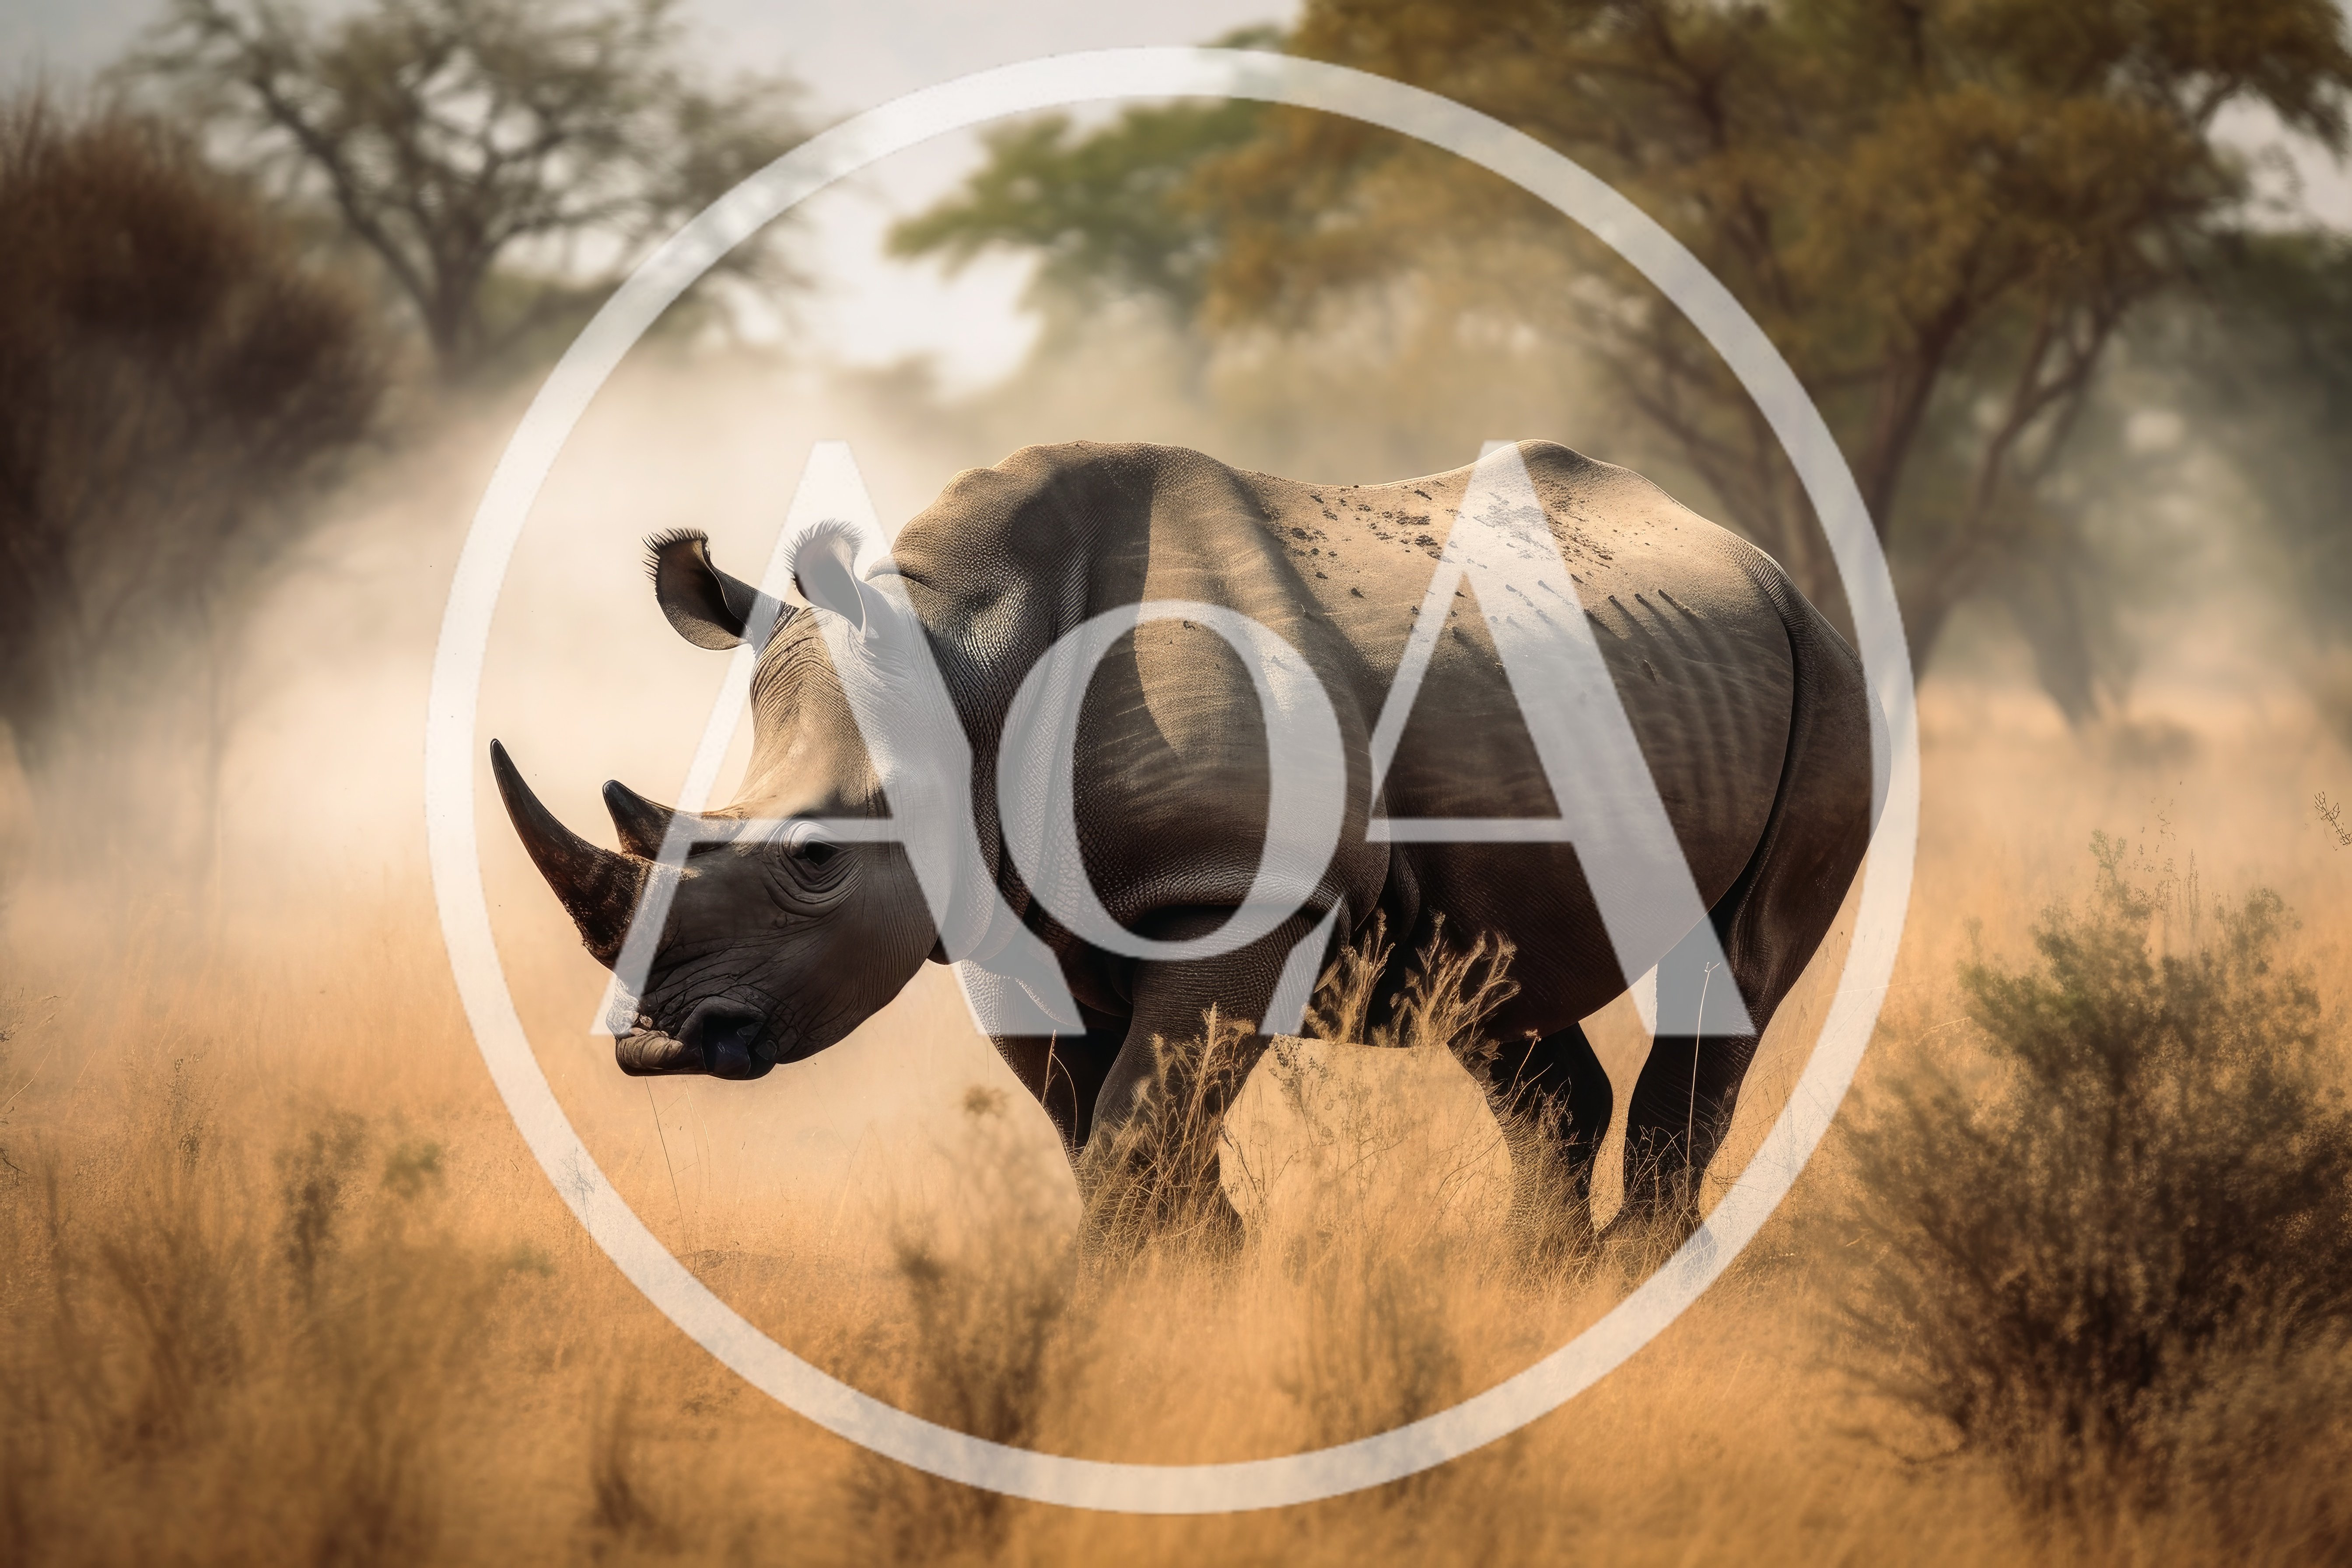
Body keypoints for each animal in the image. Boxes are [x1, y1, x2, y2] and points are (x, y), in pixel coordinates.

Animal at [493, 440, 1874, 1235]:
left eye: (817, 860)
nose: (661, 1044)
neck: (972, 655)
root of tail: (1756, 561)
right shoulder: (1004, 920)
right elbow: (1117, 1149)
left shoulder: (1231, 891)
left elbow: (1133, 1142)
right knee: (1503, 999)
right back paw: (1532, 1307)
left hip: (1829, 680)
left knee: (1733, 978)